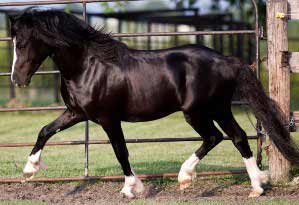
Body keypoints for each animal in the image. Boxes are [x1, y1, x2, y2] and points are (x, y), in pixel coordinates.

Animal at [8, 9, 299, 199]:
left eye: (21, 43)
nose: (16, 79)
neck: (88, 66)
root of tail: (226, 60)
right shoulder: (76, 113)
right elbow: (45, 131)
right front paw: (28, 170)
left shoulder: (108, 119)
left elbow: (121, 151)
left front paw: (131, 188)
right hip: (219, 108)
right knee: (238, 137)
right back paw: (257, 186)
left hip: (197, 112)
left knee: (214, 137)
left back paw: (185, 177)